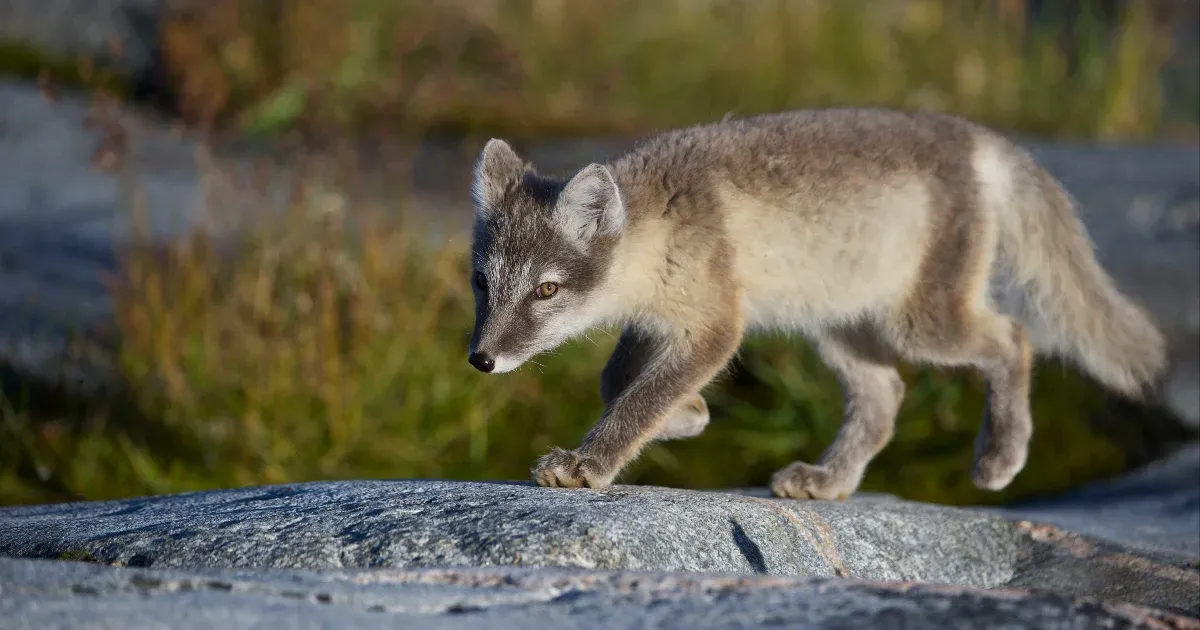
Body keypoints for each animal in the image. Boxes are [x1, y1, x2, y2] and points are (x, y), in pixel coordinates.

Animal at [463, 109, 1166, 501]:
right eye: (481, 284)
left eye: (546, 290)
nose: (480, 360)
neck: (658, 219)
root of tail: (980, 137)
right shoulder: (660, 319)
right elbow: (619, 380)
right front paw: (688, 416)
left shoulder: (715, 326)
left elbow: (637, 400)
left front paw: (591, 462)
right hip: (839, 326)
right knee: (885, 400)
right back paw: (830, 482)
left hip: (918, 324)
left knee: (1014, 337)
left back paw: (1000, 457)